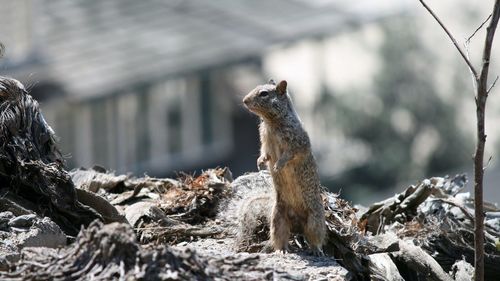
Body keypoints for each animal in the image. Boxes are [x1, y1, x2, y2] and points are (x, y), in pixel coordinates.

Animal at [243, 78, 328, 254]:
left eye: (264, 94)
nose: (244, 100)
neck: (271, 123)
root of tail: (297, 225)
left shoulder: (297, 142)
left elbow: (290, 154)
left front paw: (278, 165)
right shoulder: (265, 141)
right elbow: (265, 153)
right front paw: (261, 161)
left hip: (315, 220)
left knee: (315, 238)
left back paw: (316, 249)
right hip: (278, 219)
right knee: (280, 237)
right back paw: (281, 250)